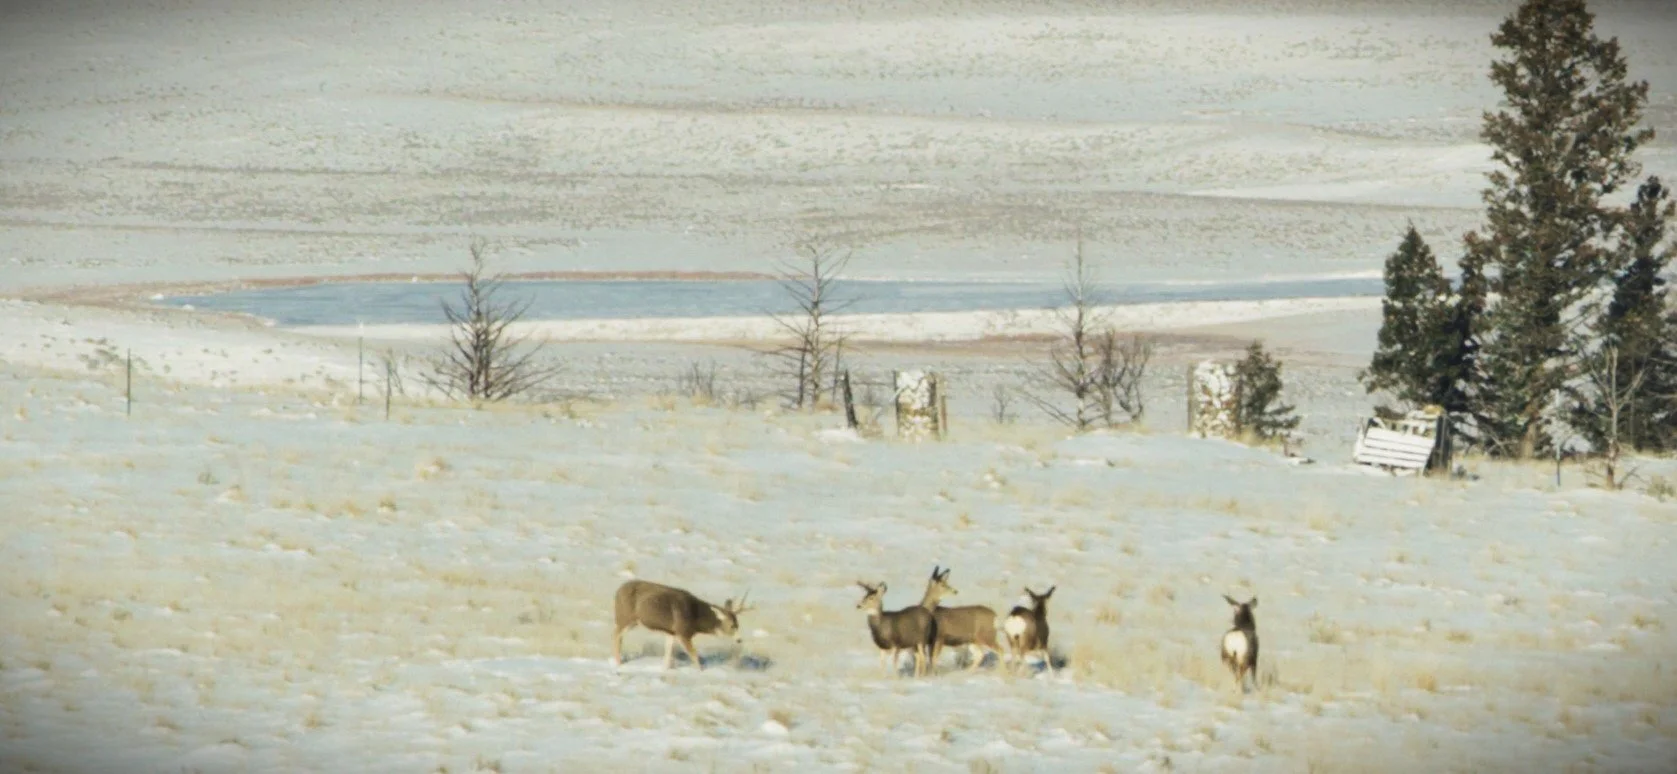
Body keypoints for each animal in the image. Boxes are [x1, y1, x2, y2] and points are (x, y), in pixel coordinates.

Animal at [611, 579, 754, 670]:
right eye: (732, 625)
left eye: (738, 624)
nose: (739, 640)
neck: (696, 618)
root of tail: (617, 591)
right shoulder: (683, 632)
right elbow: (695, 656)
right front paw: (700, 671)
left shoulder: (671, 632)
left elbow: (668, 654)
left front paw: (664, 670)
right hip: (625, 617)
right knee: (617, 635)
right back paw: (618, 663)